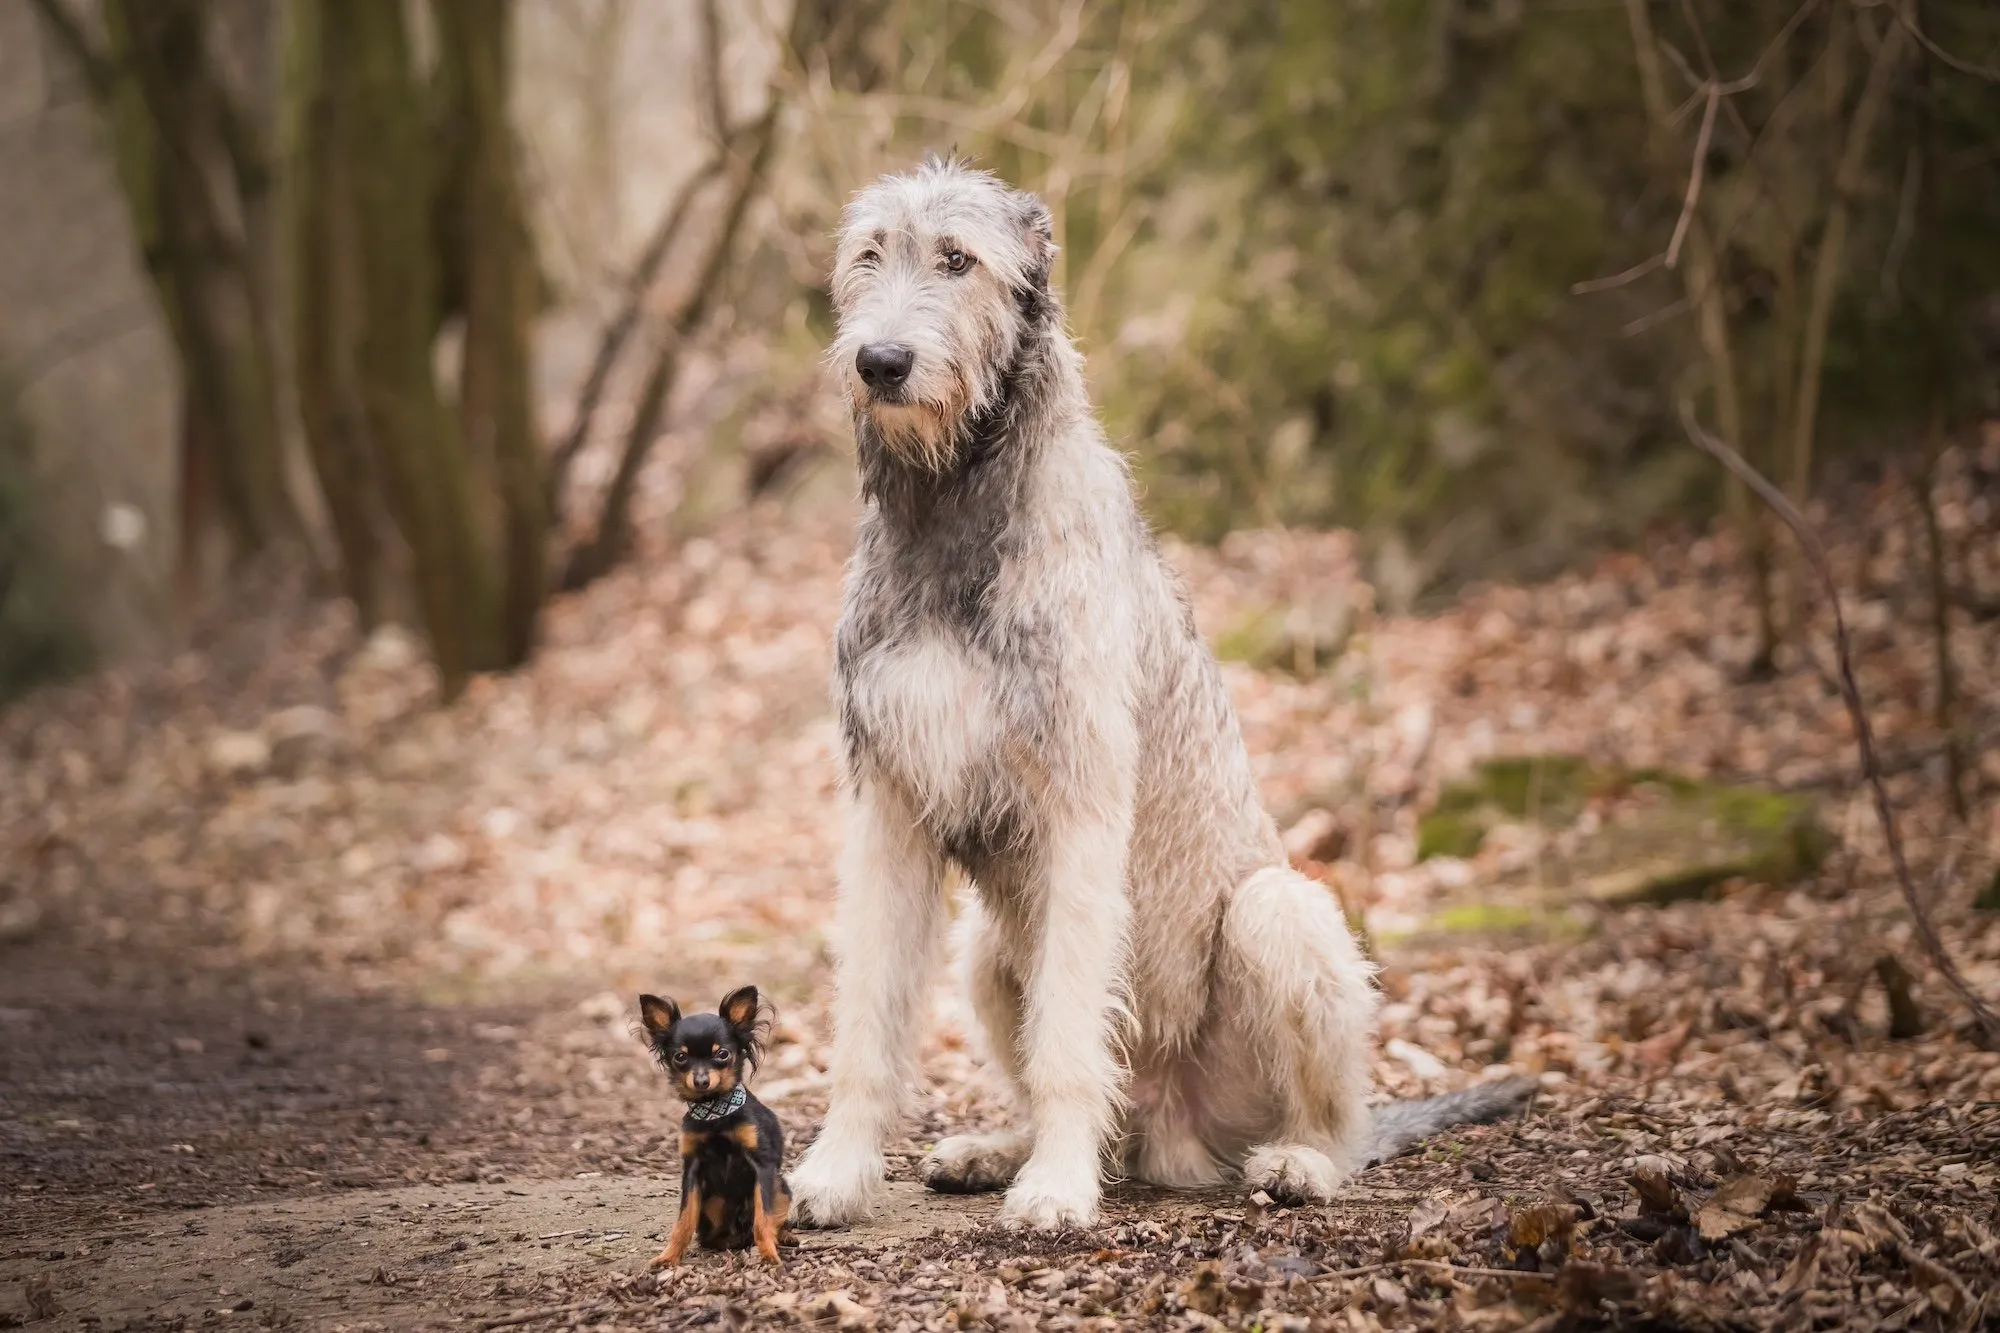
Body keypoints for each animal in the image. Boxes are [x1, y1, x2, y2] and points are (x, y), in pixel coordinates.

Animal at [644, 980, 792, 1264]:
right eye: (680, 1057)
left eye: (722, 1054)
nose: (701, 1080)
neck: (715, 1113)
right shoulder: (692, 1169)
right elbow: (684, 1219)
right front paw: (669, 1257)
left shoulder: (762, 1165)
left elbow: (763, 1218)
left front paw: (769, 1255)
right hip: (713, 1203)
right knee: (712, 1235)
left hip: (781, 1186)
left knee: (774, 1220)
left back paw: (785, 1237)